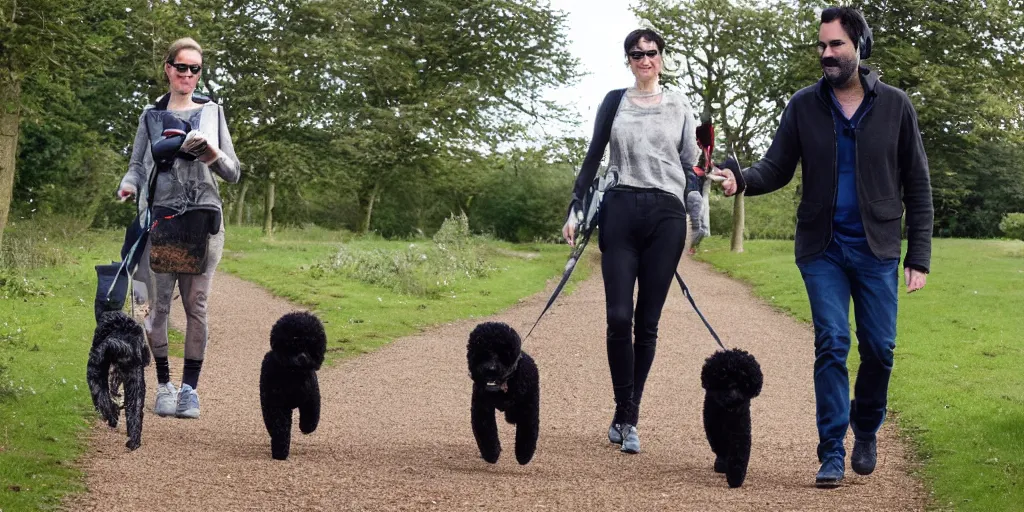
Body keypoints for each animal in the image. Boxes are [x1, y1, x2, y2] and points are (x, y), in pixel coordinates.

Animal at [87, 309, 149, 450]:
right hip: (135, 382)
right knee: (134, 412)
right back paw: (134, 441)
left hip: (96, 376)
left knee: (104, 401)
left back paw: (112, 418)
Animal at [260, 309, 323, 462]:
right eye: (293, 342)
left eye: (311, 344)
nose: (303, 358)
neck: (293, 376)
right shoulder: (276, 405)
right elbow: (280, 428)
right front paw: (280, 452)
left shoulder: (311, 399)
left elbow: (311, 417)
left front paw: (306, 427)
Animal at [466, 321, 540, 466]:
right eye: (481, 352)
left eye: (503, 353)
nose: (490, 369)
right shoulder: (481, 408)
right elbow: (486, 431)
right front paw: (491, 454)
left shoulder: (529, 408)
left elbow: (528, 432)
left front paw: (524, 455)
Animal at [700, 348, 765, 487]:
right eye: (723, 377)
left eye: (744, 382)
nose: (734, 399)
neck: (727, 411)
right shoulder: (714, 429)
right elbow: (721, 447)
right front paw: (723, 464)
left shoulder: (740, 429)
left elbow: (739, 453)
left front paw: (735, 477)